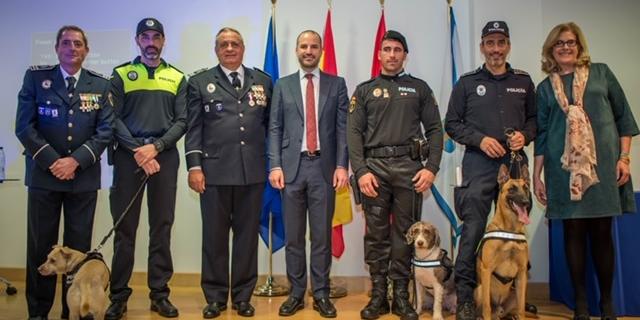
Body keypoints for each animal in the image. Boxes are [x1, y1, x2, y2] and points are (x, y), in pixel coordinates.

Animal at [472, 164, 532, 318]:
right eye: (512, 189)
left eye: (526, 188)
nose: (526, 202)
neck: (510, 230)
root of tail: (498, 308)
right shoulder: (486, 270)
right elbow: (486, 307)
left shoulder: (521, 274)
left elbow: (522, 308)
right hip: (480, 290)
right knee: (485, 308)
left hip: (514, 294)